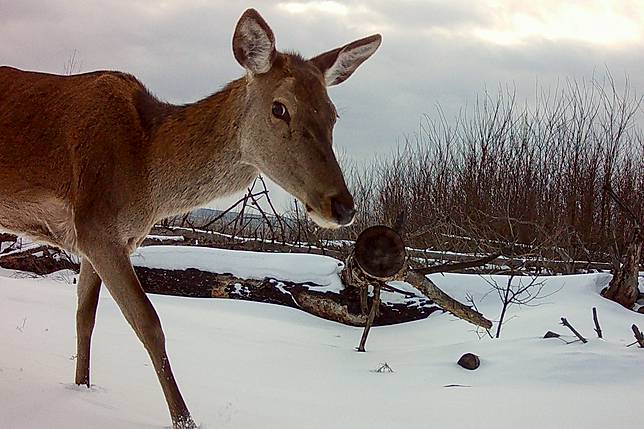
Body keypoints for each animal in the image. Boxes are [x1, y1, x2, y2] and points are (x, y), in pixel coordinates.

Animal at [0, 8, 381, 429]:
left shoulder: (102, 238)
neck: (145, 180)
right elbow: (148, 323)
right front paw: (184, 418)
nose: (342, 206)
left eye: (333, 114)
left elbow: (85, 317)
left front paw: (82, 387)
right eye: (279, 107)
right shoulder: (97, 227)